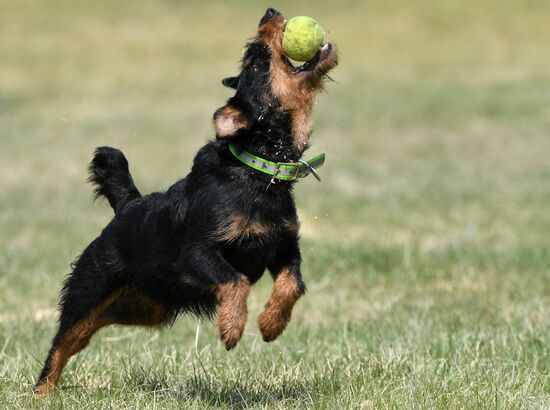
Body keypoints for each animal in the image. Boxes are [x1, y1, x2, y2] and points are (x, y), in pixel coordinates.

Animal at [35, 8, 336, 394]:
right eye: (256, 60)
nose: (269, 12)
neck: (258, 168)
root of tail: (128, 206)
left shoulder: (283, 245)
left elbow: (292, 284)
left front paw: (271, 324)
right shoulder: (196, 253)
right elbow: (235, 279)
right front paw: (231, 327)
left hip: (146, 306)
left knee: (87, 331)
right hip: (91, 287)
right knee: (63, 339)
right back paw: (42, 391)